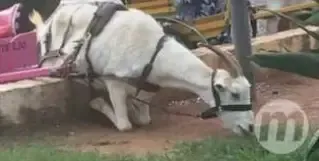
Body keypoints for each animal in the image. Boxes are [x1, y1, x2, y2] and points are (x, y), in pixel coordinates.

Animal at [35, 1, 255, 135]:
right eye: (234, 94)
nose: (250, 127)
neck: (152, 52)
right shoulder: (114, 83)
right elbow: (125, 126)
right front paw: (97, 103)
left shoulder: (149, 87)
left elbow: (143, 119)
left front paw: (133, 108)